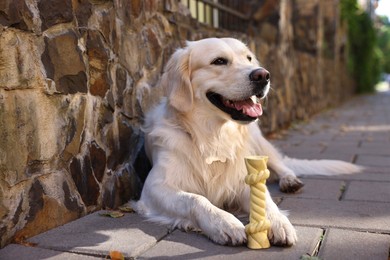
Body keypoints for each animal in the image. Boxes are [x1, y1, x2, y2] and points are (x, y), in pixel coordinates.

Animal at [132, 38, 362, 246]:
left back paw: (289, 180)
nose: (263, 75)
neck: (213, 136)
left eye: (249, 58)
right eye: (219, 61)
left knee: (281, 166)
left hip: (259, 143)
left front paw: (279, 222)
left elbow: (266, 200)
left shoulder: (241, 178)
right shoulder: (155, 187)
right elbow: (195, 199)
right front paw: (225, 223)